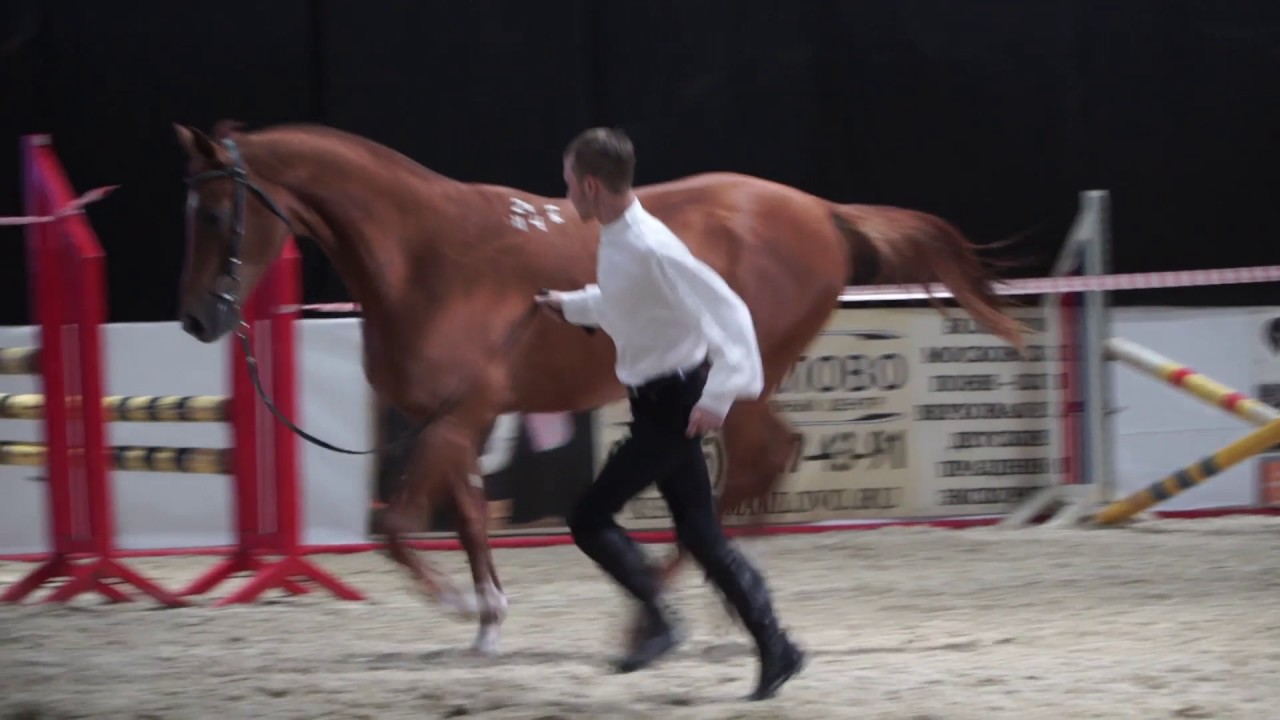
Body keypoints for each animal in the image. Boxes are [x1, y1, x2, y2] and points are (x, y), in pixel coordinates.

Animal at [172, 120, 1029, 656]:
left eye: (215, 213)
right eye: (191, 210)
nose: (196, 319)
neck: (427, 254)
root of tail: (819, 210)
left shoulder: (460, 416)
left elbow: (394, 524)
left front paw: (460, 605)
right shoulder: (456, 421)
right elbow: (469, 517)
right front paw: (488, 620)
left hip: (742, 379)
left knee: (756, 463)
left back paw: (674, 613)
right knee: (764, 462)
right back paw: (721, 612)